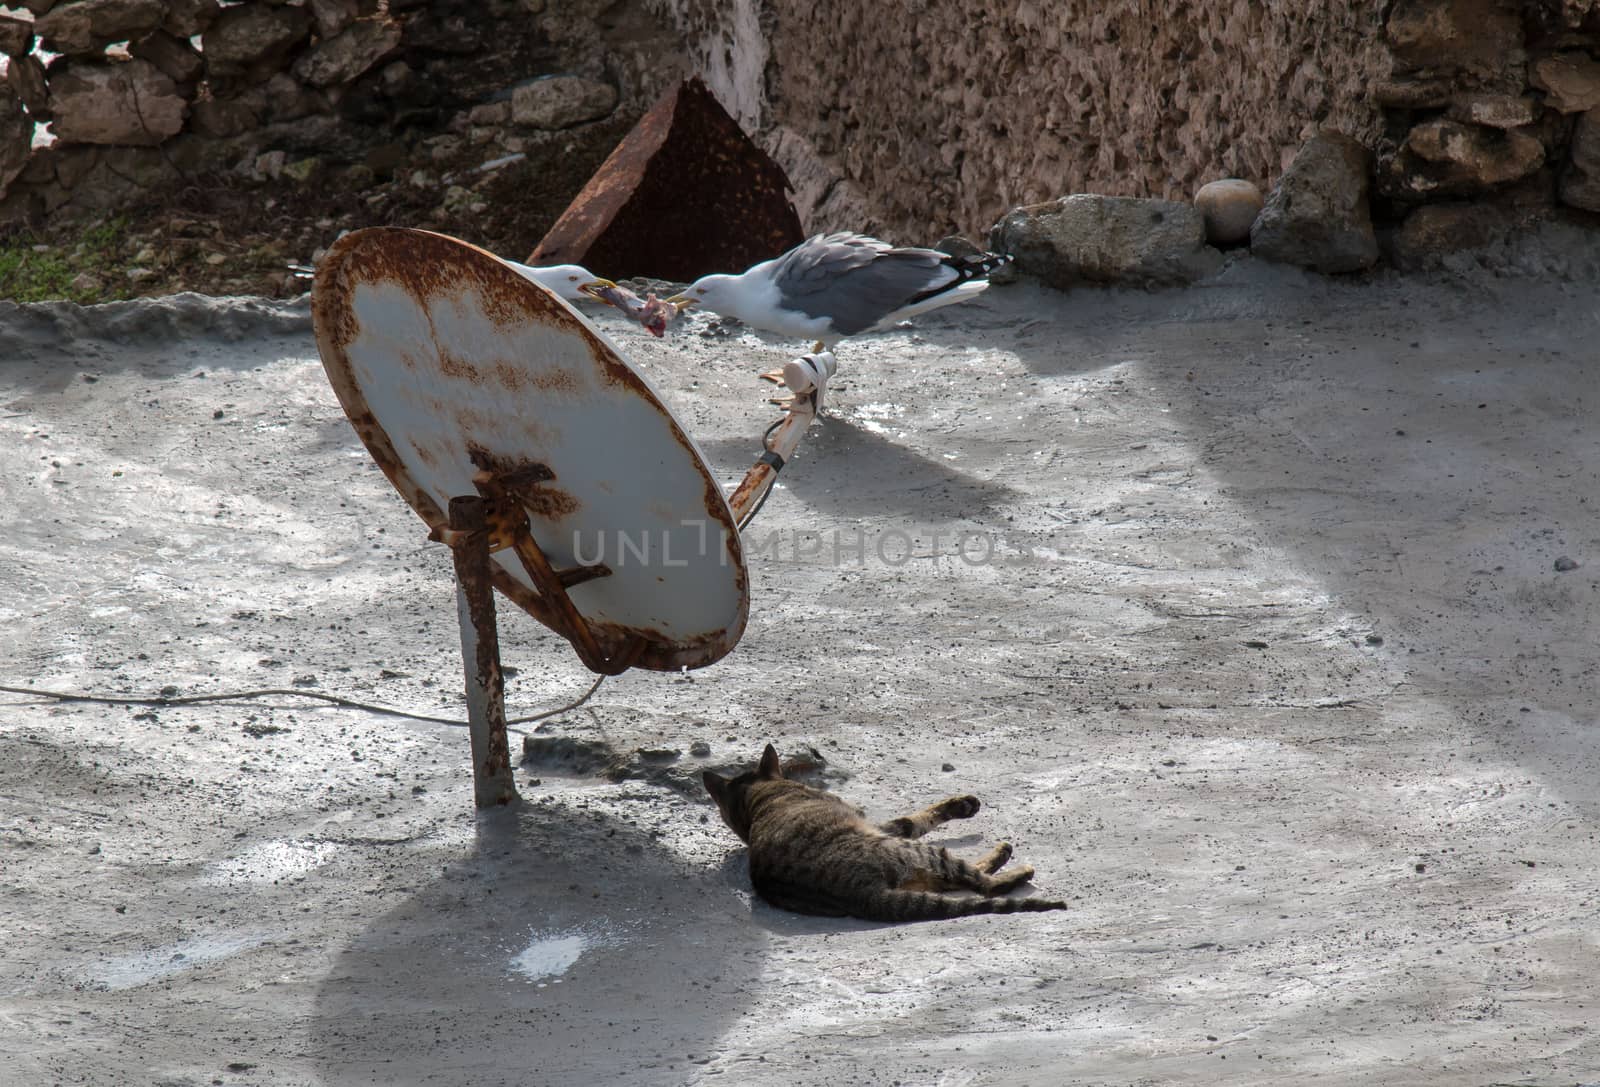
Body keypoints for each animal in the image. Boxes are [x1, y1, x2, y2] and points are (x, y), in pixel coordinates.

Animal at [707, 742, 1068, 922]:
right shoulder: (879, 824)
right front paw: (961, 805)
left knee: (957, 881)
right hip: (910, 851)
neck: (760, 799)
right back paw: (1011, 861)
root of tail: (863, 896)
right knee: (981, 884)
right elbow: (915, 819)